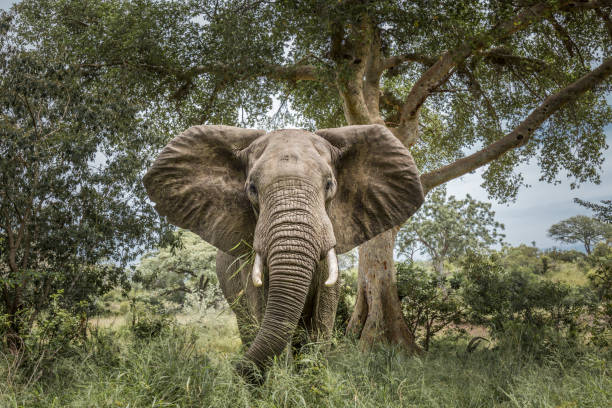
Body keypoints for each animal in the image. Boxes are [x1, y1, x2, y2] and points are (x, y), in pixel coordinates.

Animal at [142, 123, 426, 380]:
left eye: (329, 185)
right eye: (252, 189)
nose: (232, 372)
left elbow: (322, 319)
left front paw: (312, 382)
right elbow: (266, 309)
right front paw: (281, 383)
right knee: (247, 325)